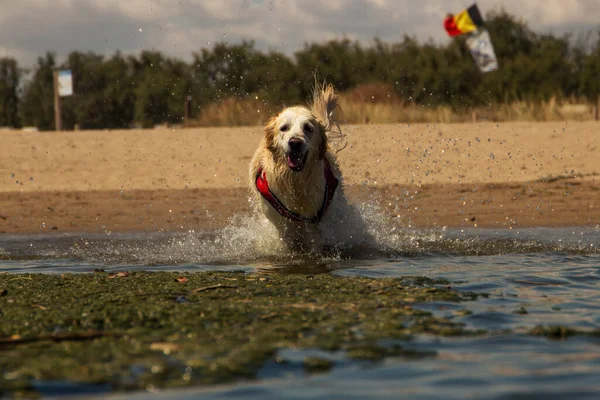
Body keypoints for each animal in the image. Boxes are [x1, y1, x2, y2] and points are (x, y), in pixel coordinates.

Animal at [247, 83, 354, 252]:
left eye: (308, 128)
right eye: (284, 128)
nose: (295, 143)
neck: (295, 181)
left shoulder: (317, 218)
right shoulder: (282, 222)